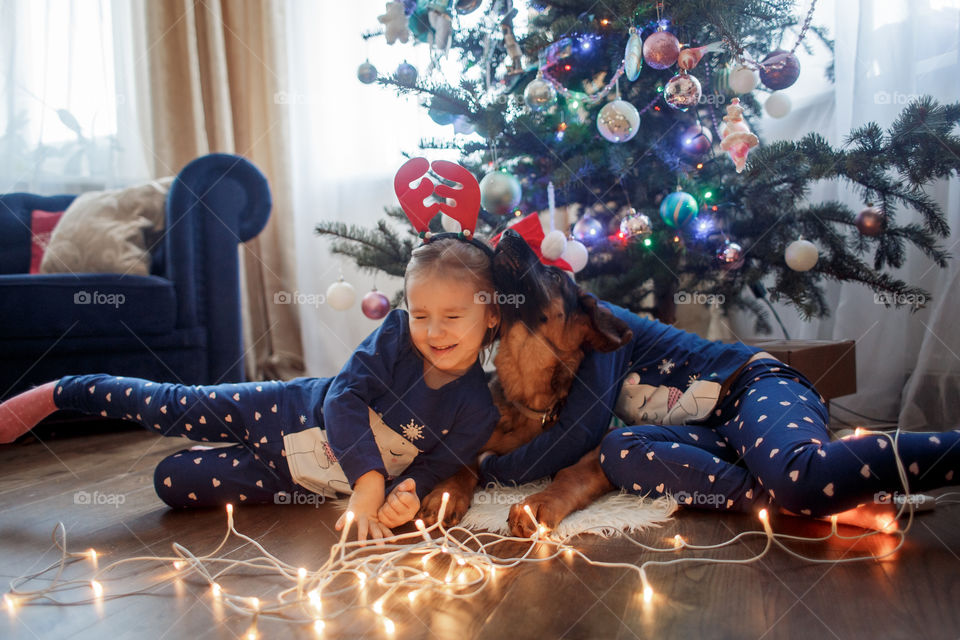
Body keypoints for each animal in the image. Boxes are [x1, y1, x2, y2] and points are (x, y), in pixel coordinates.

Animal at [416, 228, 632, 536]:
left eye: (554, 276)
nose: (509, 232)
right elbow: (462, 461)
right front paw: (445, 494)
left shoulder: (598, 451)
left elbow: (573, 474)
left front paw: (538, 502)